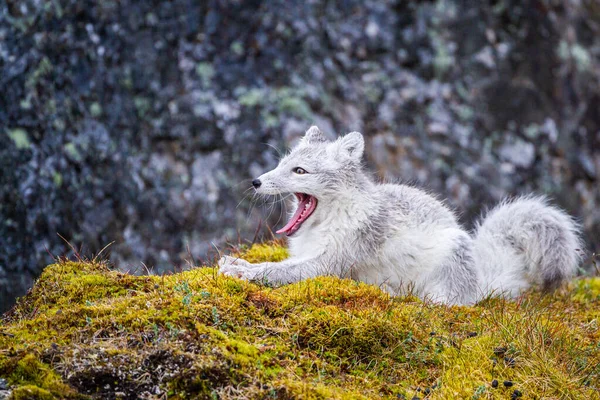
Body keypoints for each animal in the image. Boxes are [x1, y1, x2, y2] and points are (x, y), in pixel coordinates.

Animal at [218, 126, 584, 304]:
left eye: (299, 170)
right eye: (282, 163)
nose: (256, 181)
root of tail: (481, 280)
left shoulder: (330, 264)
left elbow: (279, 271)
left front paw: (243, 270)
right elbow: (282, 263)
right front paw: (238, 263)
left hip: (450, 259)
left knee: (438, 304)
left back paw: (394, 293)